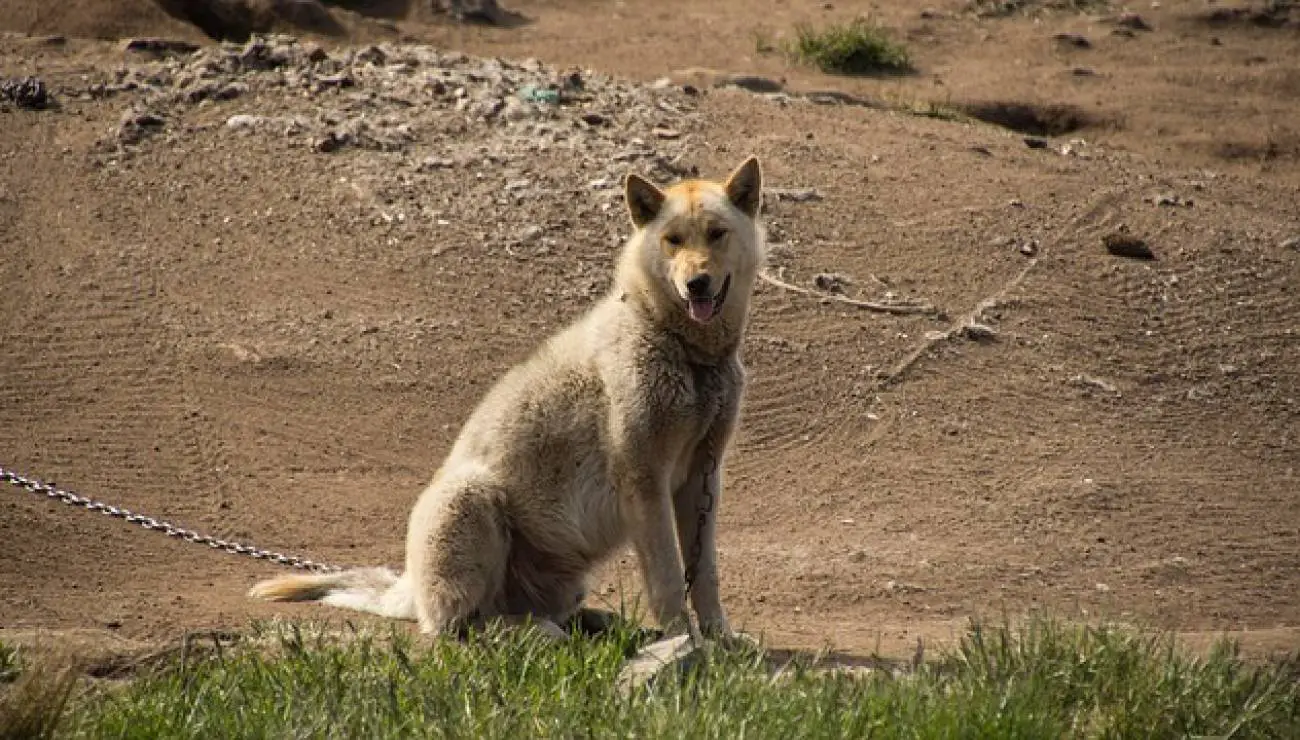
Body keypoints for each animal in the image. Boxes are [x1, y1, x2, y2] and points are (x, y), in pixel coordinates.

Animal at [249, 157, 764, 639]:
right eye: (672, 240)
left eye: (716, 234)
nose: (696, 283)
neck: (684, 351)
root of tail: (408, 588)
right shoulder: (645, 482)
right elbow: (669, 578)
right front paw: (683, 640)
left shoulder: (701, 479)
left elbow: (705, 575)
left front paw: (719, 638)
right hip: (473, 499)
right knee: (462, 623)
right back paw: (537, 631)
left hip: (563, 574)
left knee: (529, 610)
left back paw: (596, 622)